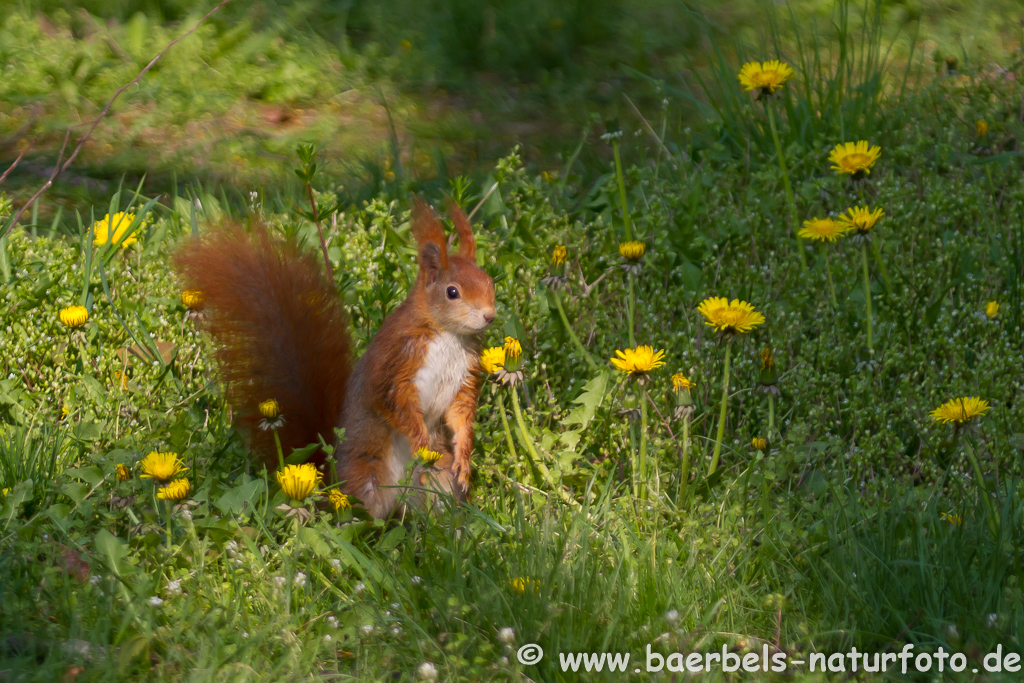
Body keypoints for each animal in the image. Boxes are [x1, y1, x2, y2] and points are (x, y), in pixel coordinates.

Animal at [176, 197, 495, 518]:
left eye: (490, 281)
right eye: (452, 292)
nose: (490, 316)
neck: (448, 335)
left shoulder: (465, 375)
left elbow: (461, 415)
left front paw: (464, 458)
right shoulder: (396, 363)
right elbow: (396, 404)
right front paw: (420, 442)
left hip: (439, 486)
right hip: (366, 476)